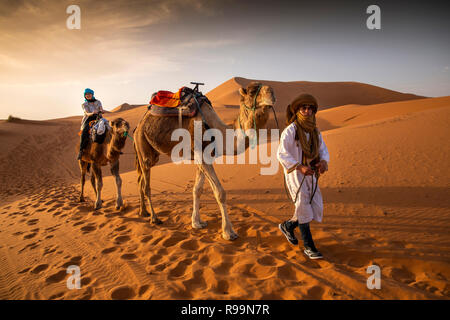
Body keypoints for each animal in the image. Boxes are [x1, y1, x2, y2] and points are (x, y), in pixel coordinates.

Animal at [132, 82, 276, 240]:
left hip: (152, 153)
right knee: (146, 185)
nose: (271, 93)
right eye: (251, 92)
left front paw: (197, 222)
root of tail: (138, 125)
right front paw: (228, 232)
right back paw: (154, 218)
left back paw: (143, 212)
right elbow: (220, 193)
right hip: (143, 146)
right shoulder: (200, 153)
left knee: (140, 179)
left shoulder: (204, 157)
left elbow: (197, 190)